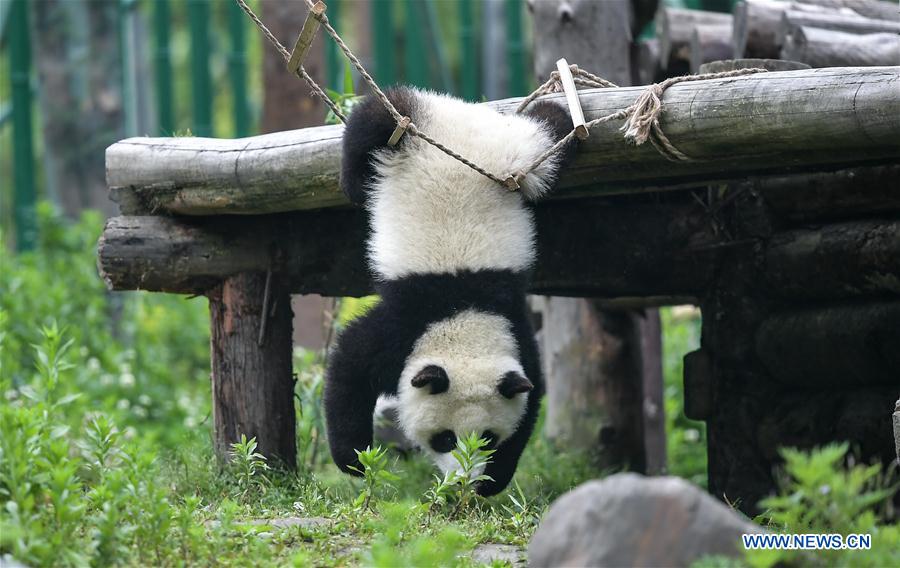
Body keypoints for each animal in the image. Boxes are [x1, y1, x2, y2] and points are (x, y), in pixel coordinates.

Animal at [325, 87, 576, 496]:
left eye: (487, 438)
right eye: (445, 439)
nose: (463, 483)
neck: (464, 314)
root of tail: (463, 110)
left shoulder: (512, 325)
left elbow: (530, 398)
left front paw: (494, 479)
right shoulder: (406, 325)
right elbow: (351, 363)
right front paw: (355, 460)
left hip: (523, 149)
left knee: (551, 128)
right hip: (410, 127)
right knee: (377, 118)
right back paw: (355, 183)